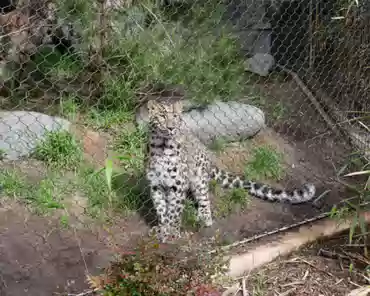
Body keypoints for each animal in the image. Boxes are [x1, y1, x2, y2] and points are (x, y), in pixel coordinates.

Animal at [145, 96, 316, 242]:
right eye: (162, 116)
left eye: (175, 116)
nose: (171, 127)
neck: (162, 147)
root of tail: (207, 155)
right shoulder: (156, 185)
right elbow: (162, 210)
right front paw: (162, 229)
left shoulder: (178, 185)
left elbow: (174, 211)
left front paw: (172, 232)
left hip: (199, 178)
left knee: (204, 198)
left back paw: (205, 217)